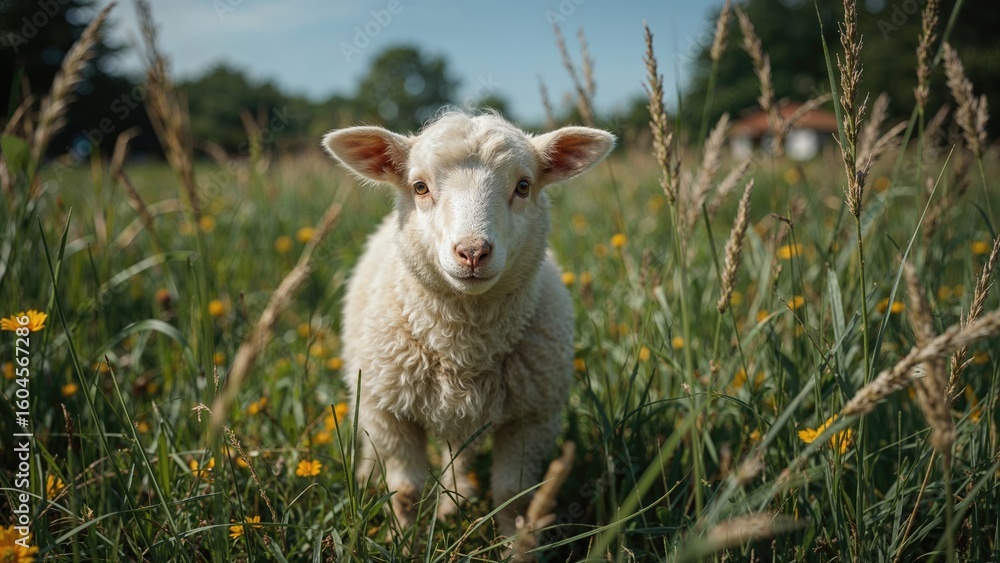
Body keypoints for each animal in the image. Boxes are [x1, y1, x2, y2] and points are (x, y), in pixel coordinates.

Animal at [322, 111, 614, 539]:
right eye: (420, 187)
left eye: (523, 186)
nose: (473, 252)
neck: (465, 346)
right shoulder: (389, 413)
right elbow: (405, 492)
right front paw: (401, 541)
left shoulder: (532, 418)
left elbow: (514, 496)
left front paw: (514, 545)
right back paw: (367, 477)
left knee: (457, 459)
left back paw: (453, 505)